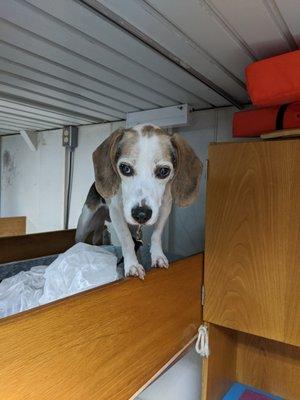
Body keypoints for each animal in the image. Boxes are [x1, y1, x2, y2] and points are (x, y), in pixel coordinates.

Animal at [75, 124, 202, 278]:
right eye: (125, 168)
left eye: (163, 171)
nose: (141, 214)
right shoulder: (116, 212)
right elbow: (126, 240)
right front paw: (132, 265)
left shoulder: (165, 207)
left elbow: (156, 235)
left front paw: (158, 256)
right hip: (84, 223)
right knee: (79, 241)